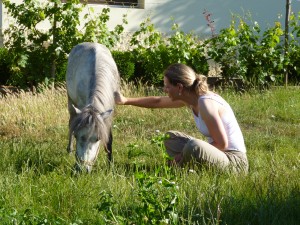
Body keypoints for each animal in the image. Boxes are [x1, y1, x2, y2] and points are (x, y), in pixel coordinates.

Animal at [66, 42, 120, 172]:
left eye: (97, 138)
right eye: (76, 136)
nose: (83, 169)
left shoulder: (108, 114)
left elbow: (109, 139)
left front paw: (110, 166)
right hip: (70, 99)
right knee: (71, 120)